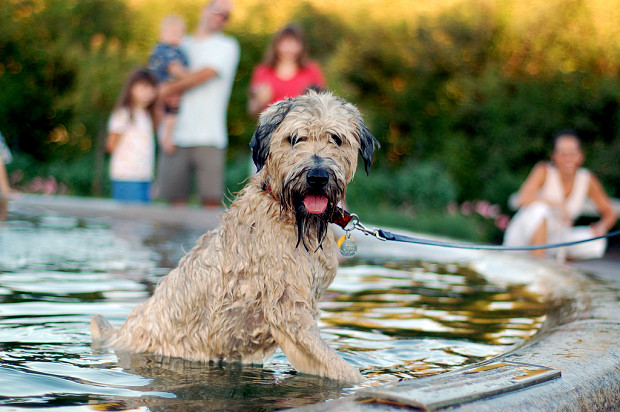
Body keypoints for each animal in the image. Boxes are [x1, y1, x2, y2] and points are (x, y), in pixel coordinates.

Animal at [91, 90, 378, 384]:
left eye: (336, 138)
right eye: (295, 138)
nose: (317, 176)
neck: (288, 213)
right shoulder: (289, 313)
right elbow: (340, 368)